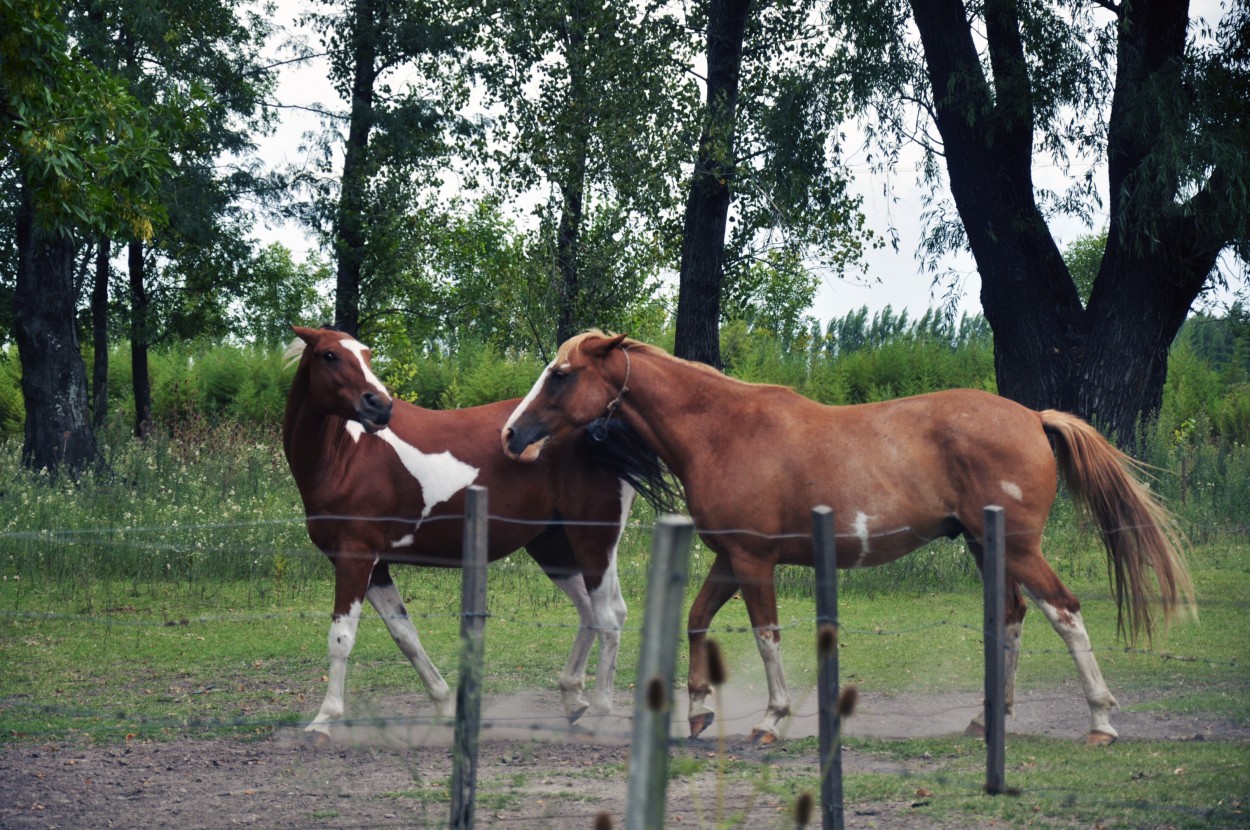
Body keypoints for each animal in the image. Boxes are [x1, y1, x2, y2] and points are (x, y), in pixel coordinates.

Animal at [285, 325, 640, 740]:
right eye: (329, 355)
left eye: (367, 355)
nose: (380, 406)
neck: (344, 457)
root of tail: (600, 428)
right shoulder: (377, 568)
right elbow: (405, 635)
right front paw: (444, 706)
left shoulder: (354, 557)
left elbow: (341, 639)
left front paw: (324, 720)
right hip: (553, 548)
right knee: (588, 611)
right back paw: (573, 700)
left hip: (594, 542)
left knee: (610, 615)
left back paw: (598, 710)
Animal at [502, 330, 1195, 745]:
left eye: (561, 374)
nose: (512, 434)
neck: (723, 431)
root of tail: (1031, 416)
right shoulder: (729, 558)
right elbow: (697, 619)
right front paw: (697, 709)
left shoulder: (754, 561)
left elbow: (766, 636)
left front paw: (772, 720)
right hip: (986, 547)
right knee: (1013, 617)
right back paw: (987, 718)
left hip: (1022, 549)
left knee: (1065, 614)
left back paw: (1100, 720)